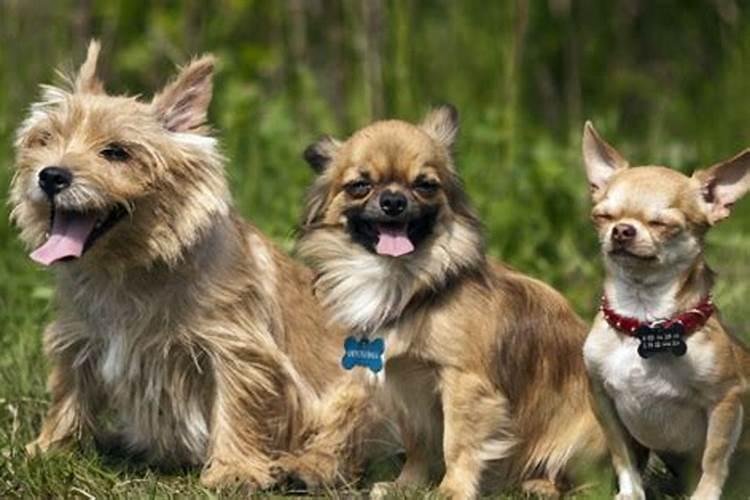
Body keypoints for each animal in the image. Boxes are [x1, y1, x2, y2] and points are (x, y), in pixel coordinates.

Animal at [9, 41, 350, 490]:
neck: (132, 267)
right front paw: (46, 449)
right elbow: (70, 393)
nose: (50, 176)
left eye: (116, 152)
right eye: (45, 139)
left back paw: (306, 467)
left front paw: (234, 469)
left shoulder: (235, 348)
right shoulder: (79, 339)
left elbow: (236, 407)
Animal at [280, 103, 608, 498]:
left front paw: (451, 489)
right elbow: (419, 443)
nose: (393, 200)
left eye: (425, 185)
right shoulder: (403, 385)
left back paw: (540, 484)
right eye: (359, 186)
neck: (402, 283)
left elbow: (458, 442)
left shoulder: (464, 384)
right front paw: (407, 485)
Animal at [584, 122, 750, 500]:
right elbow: (622, 454)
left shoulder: (726, 401)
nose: (622, 230)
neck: (644, 321)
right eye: (603, 217)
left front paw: (704, 497)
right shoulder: (602, 398)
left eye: (663, 224)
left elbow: (714, 458)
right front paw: (630, 493)